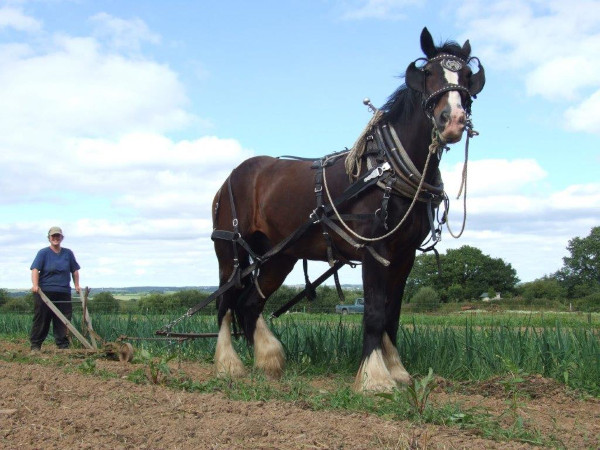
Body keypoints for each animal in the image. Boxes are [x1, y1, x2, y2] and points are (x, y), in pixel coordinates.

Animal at [210, 28, 482, 392]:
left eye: (466, 76)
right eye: (428, 74)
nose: (452, 120)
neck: (387, 167)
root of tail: (230, 178)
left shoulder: (404, 255)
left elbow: (392, 314)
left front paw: (397, 370)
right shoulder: (375, 250)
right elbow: (375, 313)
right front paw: (374, 377)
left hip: (280, 256)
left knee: (250, 303)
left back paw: (269, 361)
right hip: (230, 251)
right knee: (225, 302)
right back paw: (229, 364)